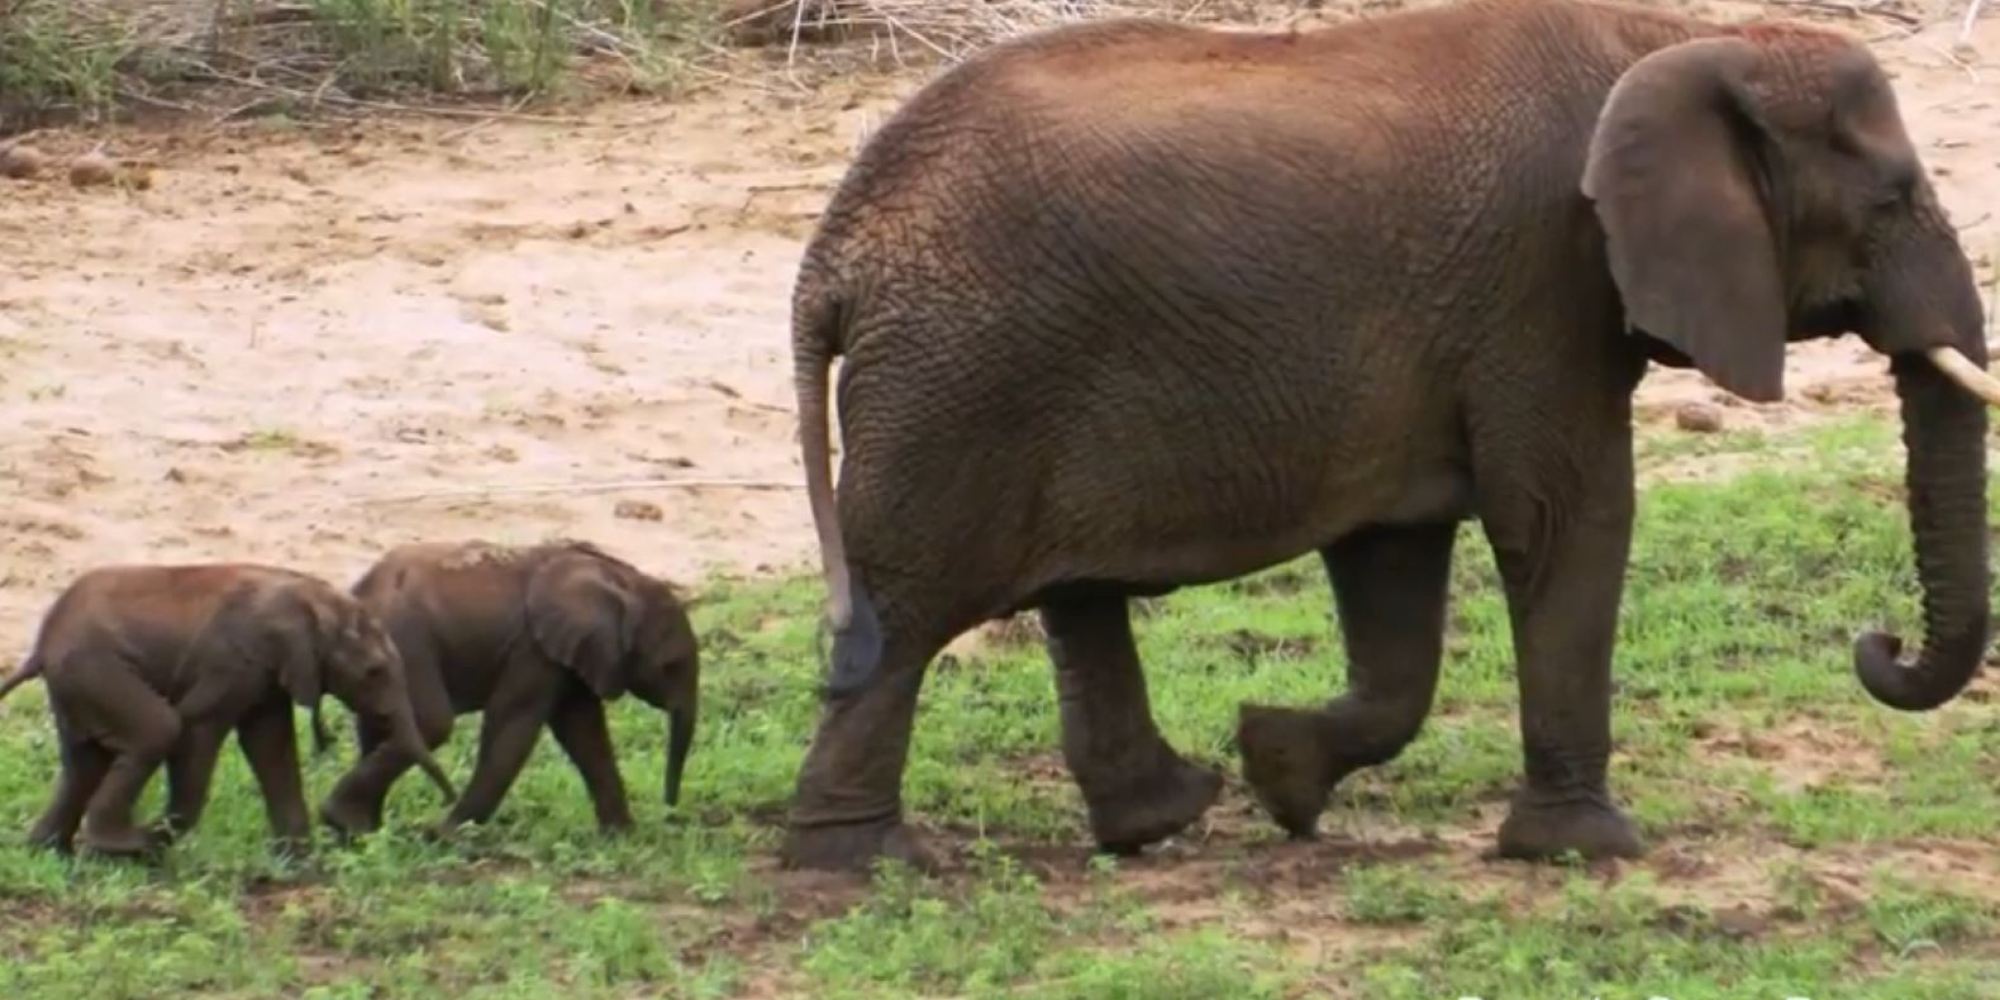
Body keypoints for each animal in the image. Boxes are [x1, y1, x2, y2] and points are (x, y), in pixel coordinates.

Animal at [0, 563, 457, 857]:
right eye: (374, 672)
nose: (445, 806)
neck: (314, 600)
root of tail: (40, 645)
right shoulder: (236, 658)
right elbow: (197, 727)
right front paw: (161, 839)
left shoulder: (270, 670)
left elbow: (270, 741)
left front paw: (300, 861)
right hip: (95, 668)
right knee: (158, 728)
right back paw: (124, 845)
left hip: (78, 684)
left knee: (84, 762)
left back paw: (50, 853)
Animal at [318, 539, 700, 836]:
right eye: (671, 666)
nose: (671, 810)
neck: (621, 578)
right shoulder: (533, 649)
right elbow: (513, 724)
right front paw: (445, 835)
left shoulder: (570, 652)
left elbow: (584, 731)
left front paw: (622, 836)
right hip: (405, 637)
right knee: (432, 724)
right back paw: (345, 822)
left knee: (382, 724)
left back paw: (360, 831)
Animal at [778, 0, 2000, 872]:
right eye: (1892, 198)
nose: (1878, 639)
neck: (1678, 40)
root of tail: (832, 252)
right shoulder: (1542, 281)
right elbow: (1567, 517)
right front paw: (1588, 850)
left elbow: (1394, 558)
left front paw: (1279, 770)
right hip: (960, 387)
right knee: (911, 606)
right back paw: (866, 864)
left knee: (1071, 595)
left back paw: (1159, 818)